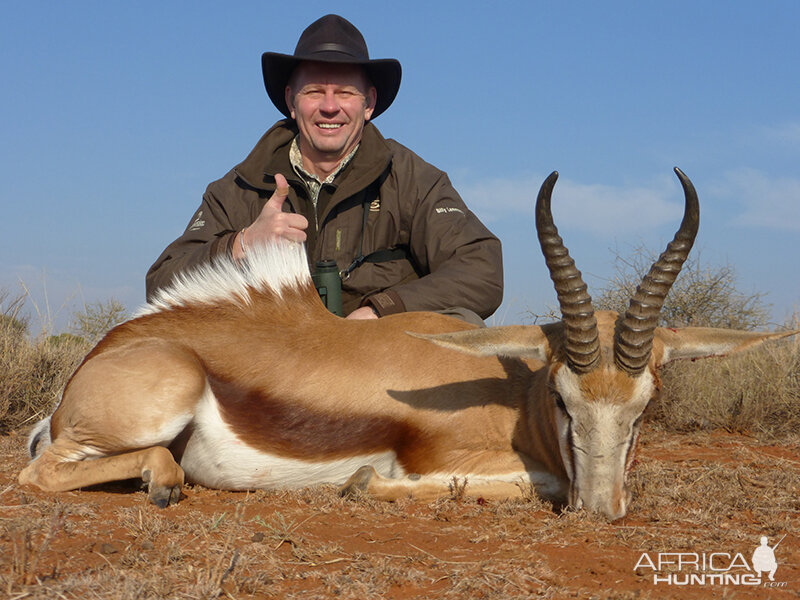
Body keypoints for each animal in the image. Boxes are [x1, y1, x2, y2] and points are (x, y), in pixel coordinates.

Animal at [21, 166, 796, 516]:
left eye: (644, 408)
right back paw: (158, 482)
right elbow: (521, 482)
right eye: (564, 399)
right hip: (158, 402)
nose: (601, 512)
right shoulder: (461, 460)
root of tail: (102, 354)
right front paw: (365, 482)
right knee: (39, 474)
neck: (512, 403)